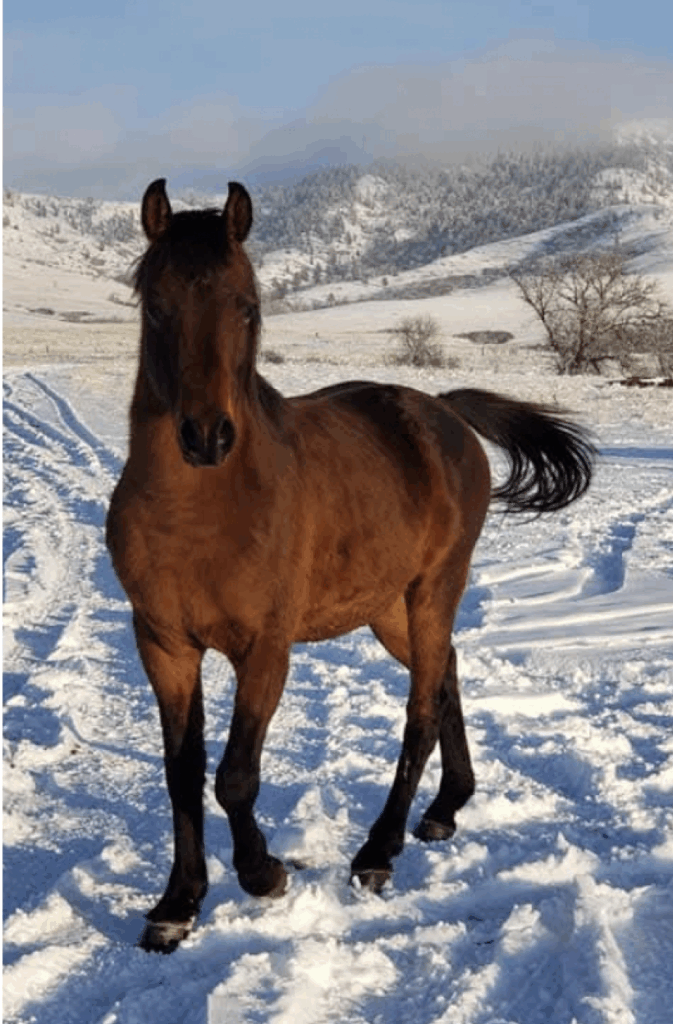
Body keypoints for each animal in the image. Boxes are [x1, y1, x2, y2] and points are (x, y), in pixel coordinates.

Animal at [106, 178, 595, 953]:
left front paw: (264, 874)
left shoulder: (264, 648)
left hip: (433, 590)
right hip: (388, 608)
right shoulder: (162, 645)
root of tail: (442, 413)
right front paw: (177, 903)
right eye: (155, 305)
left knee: (421, 708)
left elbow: (234, 776)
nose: (206, 436)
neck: (202, 513)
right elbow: (182, 773)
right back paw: (445, 809)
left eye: (247, 305)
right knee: (445, 675)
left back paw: (378, 850)